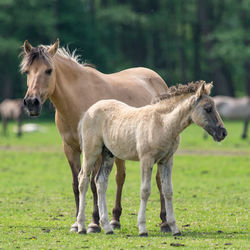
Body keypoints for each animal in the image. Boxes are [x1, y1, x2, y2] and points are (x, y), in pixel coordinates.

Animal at [20, 38, 170, 232]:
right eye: (26, 71)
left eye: (49, 70)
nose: (32, 102)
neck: (78, 101)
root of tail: (158, 80)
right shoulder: (70, 149)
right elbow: (77, 183)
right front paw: (77, 223)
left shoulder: (95, 150)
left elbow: (93, 183)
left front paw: (93, 223)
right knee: (120, 177)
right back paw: (115, 219)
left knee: (159, 180)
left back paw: (165, 222)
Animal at [77, 81, 227, 235]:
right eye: (208, 109)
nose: (223, 132)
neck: (163, 124)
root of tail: (88, 111)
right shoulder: (146, 160)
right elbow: (145, 191)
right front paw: (142, 228)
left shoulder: (167, 160)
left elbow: (168, 191)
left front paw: (174, 228)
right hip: (91, 152)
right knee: (83, 180)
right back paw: (81, 226)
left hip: (108, 154)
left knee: (101, 182)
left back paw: (107, 227)